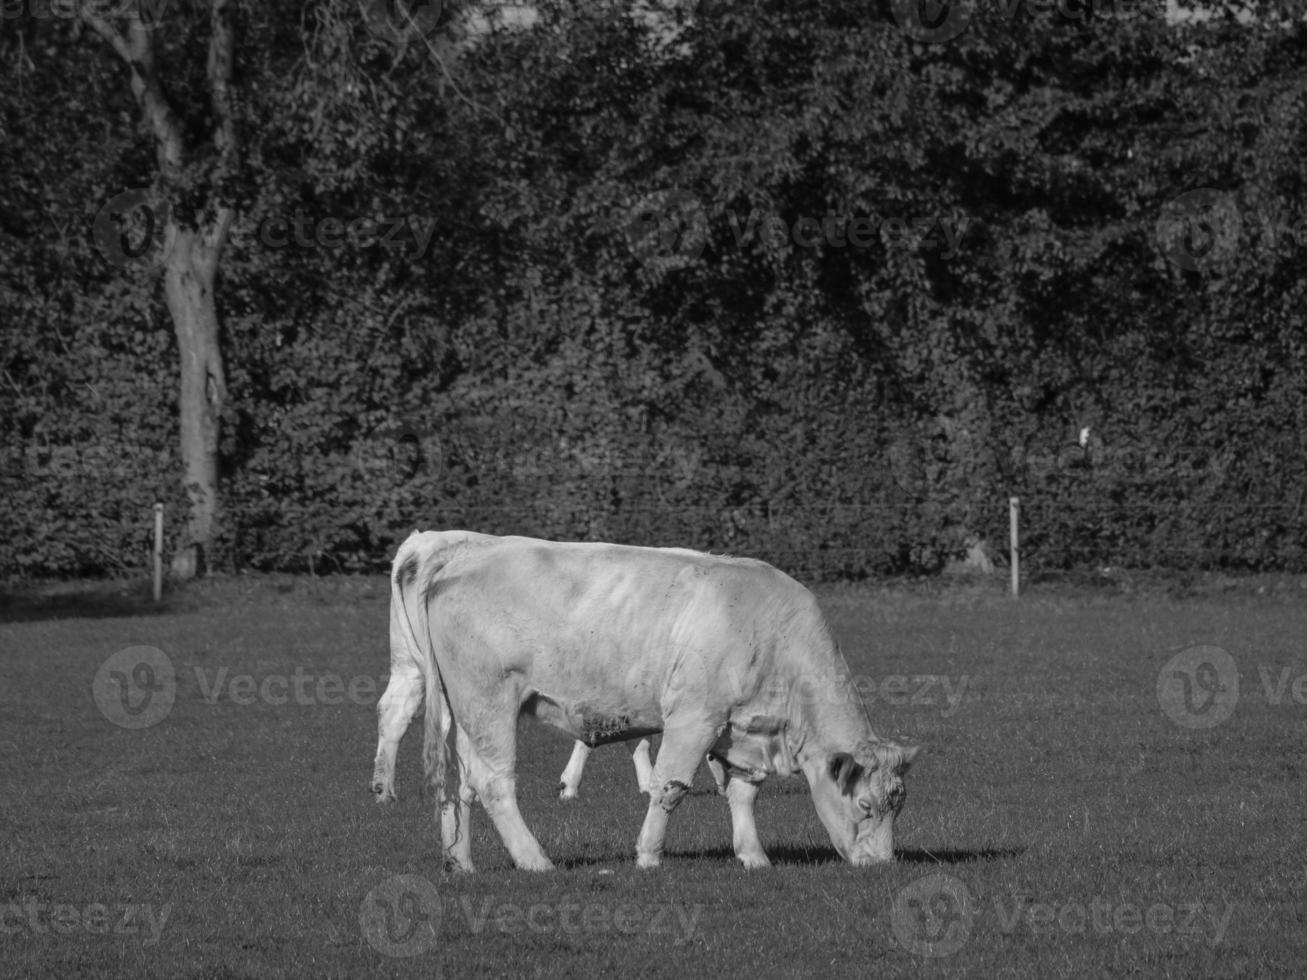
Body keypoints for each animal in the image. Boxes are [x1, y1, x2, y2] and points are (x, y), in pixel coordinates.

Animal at [368, 533, 920, 872]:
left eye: (899, 805)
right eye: (865, 804)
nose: (881, 864)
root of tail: (457, 556)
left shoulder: (739, 729)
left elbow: (744, 793)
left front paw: (754, 856)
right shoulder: (695, 718)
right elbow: (670, 787)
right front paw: (649, 855)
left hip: (462, 709)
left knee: (460, 784)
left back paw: (461, 860)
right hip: (490, 702)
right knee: (492, 782)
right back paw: (535, 859)